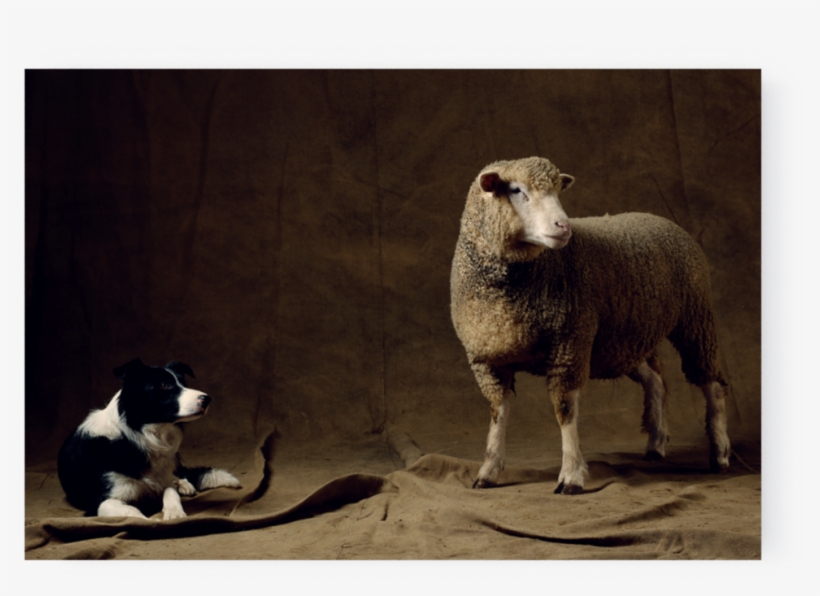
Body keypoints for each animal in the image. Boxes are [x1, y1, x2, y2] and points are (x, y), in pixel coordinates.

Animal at [450, 156, 731, 494]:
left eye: (558, 191)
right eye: (516, 190)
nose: (564, 227)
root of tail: (660, 219)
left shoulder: (569, 343)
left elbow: (564, 410)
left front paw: (571, 475)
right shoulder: (487, 356)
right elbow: (497, 412)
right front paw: (488, 470)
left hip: (695, 318)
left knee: (712, 384)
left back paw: (720, 454)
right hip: (624, 340)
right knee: (656, 380)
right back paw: (656, 443)